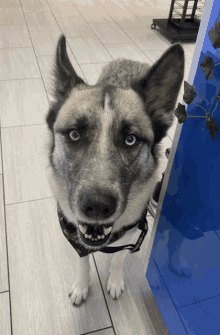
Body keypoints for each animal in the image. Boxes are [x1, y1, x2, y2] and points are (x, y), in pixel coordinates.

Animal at [45, 34, 185, 308]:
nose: (97, 206)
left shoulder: (133, 232)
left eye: (130, 140)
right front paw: (81, 285)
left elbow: (120, 258)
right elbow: (83, 260)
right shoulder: (76, 236)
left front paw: (115, 281)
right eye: (74, 135)